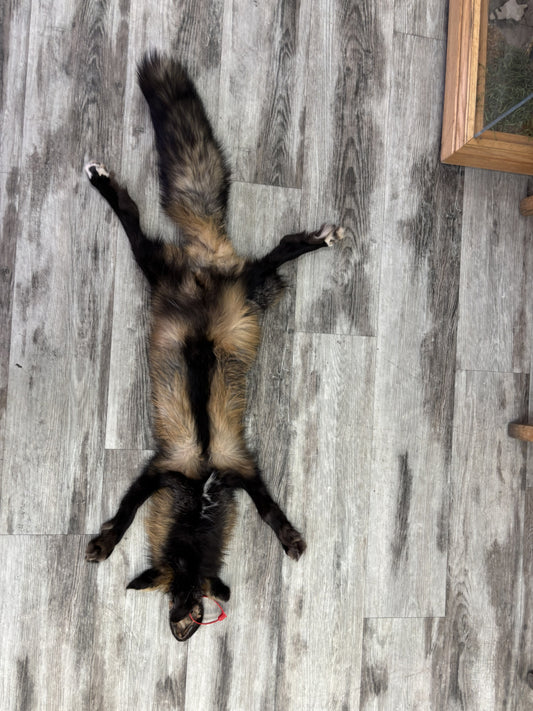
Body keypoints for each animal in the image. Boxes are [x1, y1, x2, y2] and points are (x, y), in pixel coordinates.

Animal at [85, 50, 345, 641]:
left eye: (189, 613)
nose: (181, 633)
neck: (202, 485)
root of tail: (206, 260)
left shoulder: (236, 468)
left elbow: (270, 511)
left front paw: (289, 538)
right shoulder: (167, 468)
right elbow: (126, 514)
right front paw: (105, 542)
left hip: (223, 285)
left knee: (274, 249)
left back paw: (319, 239)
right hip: (181, 277)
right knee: (146, 228)